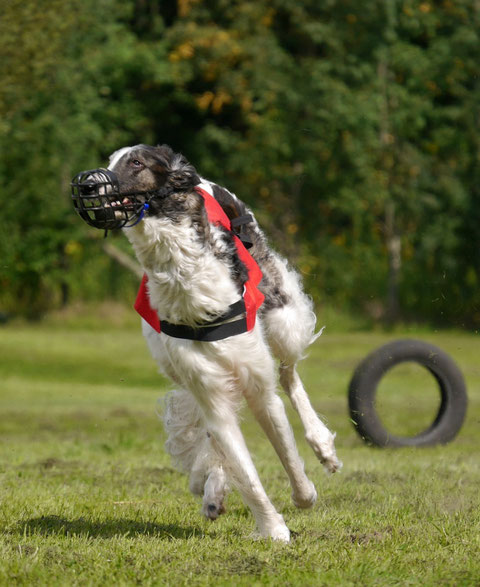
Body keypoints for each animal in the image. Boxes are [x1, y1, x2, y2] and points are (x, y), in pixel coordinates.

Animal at [71, 146, 342, 544]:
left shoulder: (259, 386)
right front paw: (272, 528)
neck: (189, 283)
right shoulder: (206, 387)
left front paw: (303, 496)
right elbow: (243, 468)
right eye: (108, 162)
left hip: (282, 319)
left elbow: (287, 451)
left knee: (290, 374)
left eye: (135, 162)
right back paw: (212, 489)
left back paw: (322, 444)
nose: (87, 184)